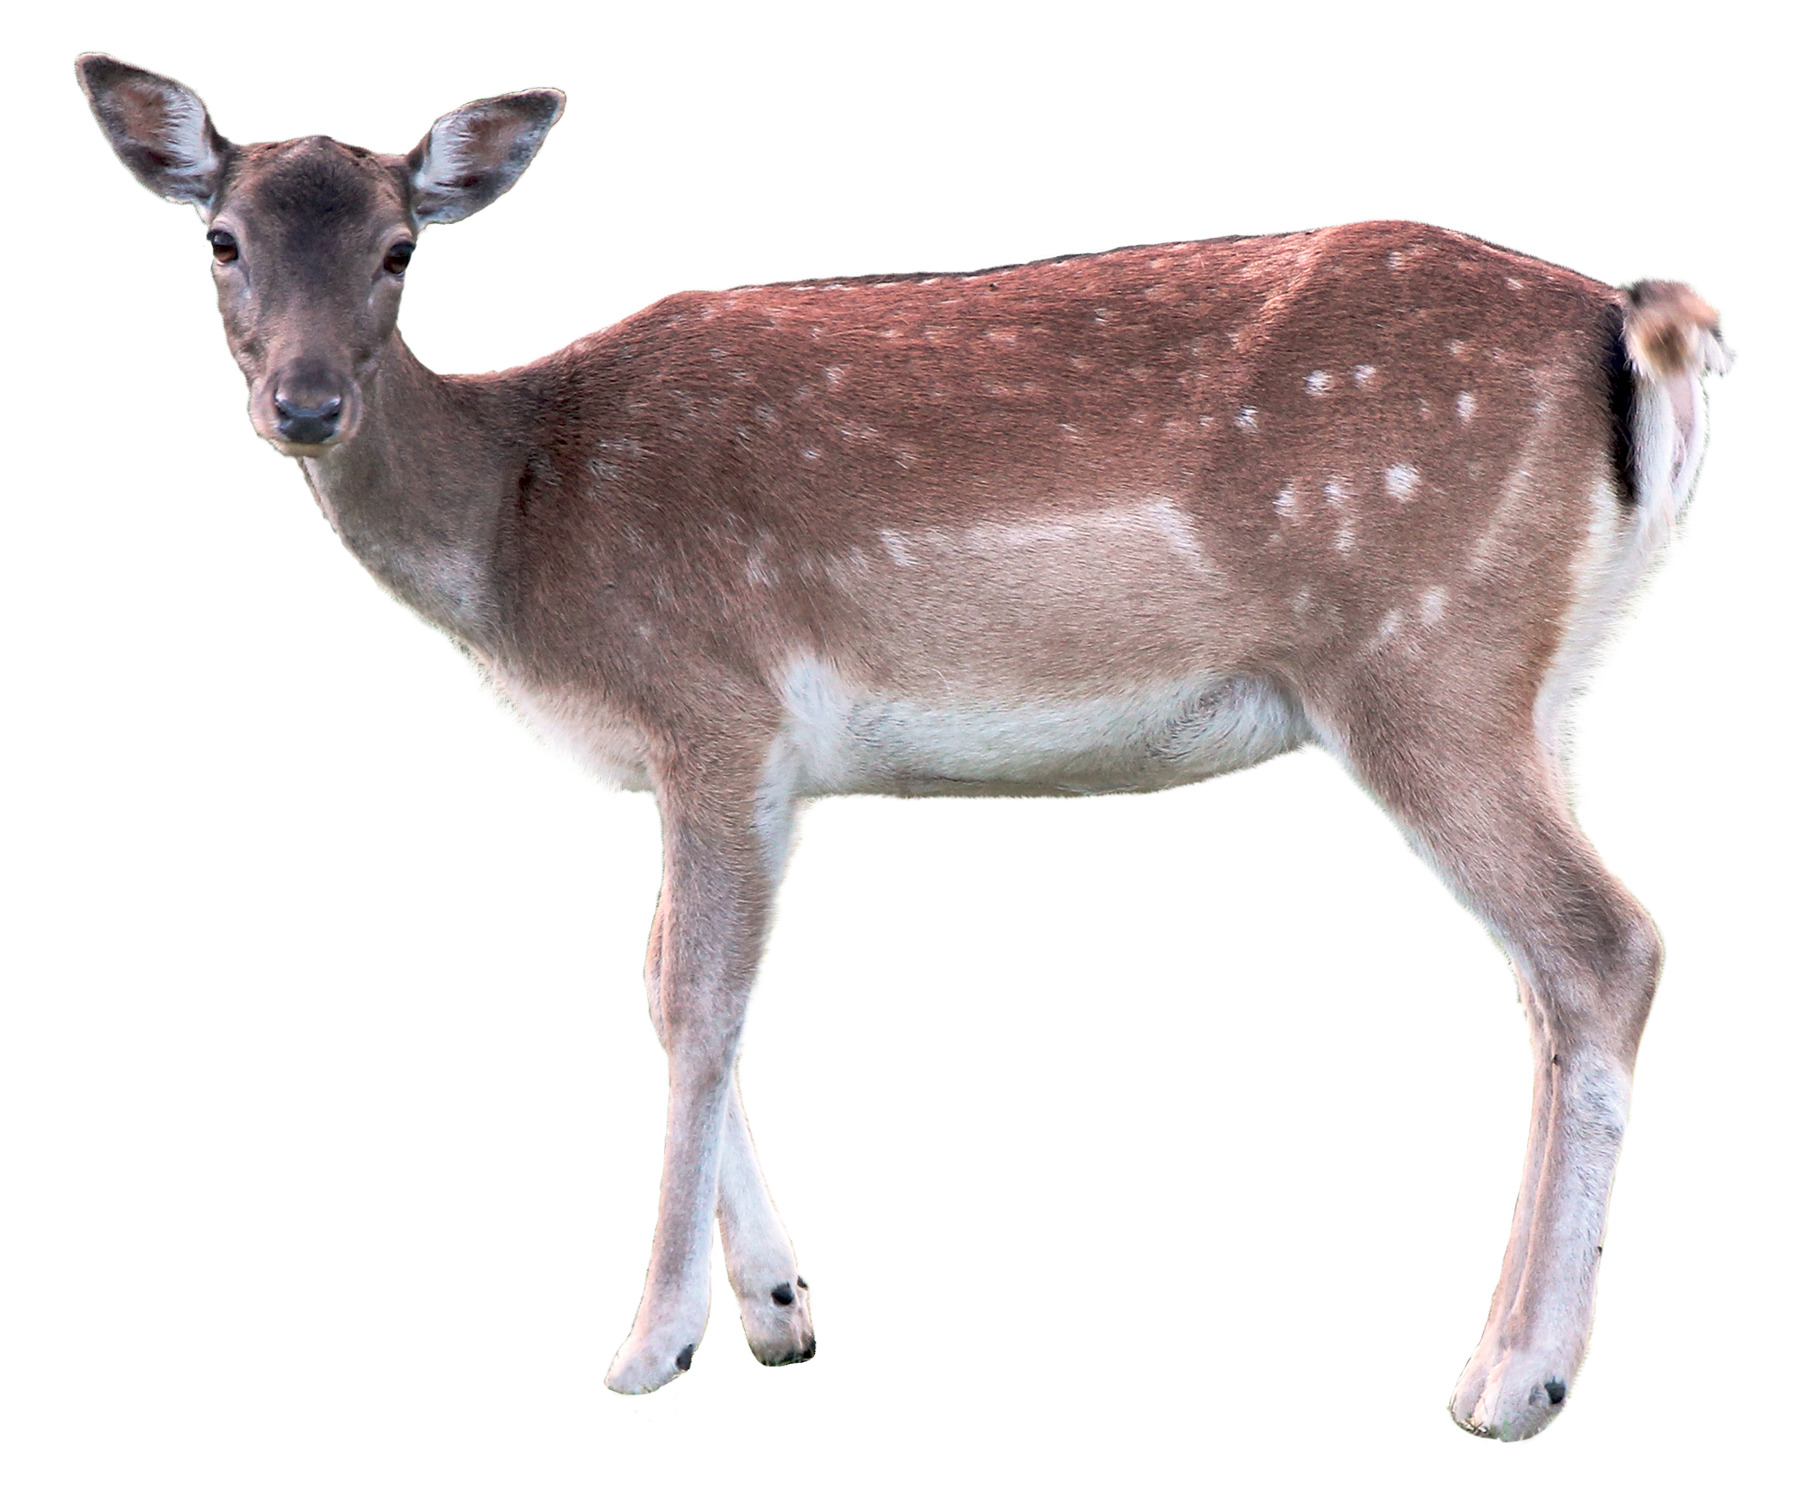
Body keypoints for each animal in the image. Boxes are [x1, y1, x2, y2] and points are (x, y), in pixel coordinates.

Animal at [75, 52, 1729, 1438]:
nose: (303, 403)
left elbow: (696, 997)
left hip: (1418, 658)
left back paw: (1512, 1380)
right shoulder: (731, 766)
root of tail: (1641, 325)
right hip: (1539, 686)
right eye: (222, 239)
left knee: (1604, 943)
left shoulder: (713, 704)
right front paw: (779, 1312)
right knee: (1547, 973)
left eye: (400, 249)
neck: (519, 526)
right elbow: (678, 991)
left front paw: (650, 1345)